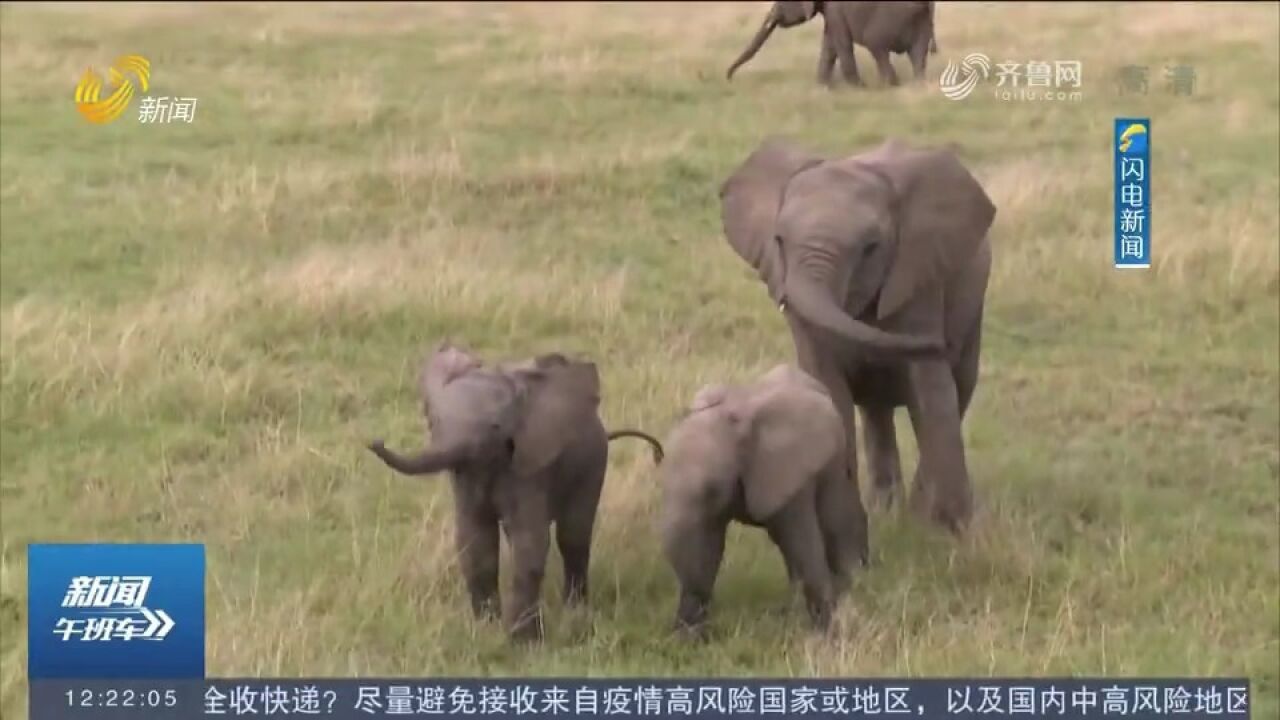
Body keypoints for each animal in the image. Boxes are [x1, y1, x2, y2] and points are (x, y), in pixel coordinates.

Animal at [360, 340, 660, 638]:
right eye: (432, 422)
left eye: (496, 427)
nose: (375, 441)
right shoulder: (468, 475)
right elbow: (475, 540)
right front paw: (485, 630)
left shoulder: (529, 468)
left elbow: (529, 541)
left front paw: (522, 641)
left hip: (593, 461)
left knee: (573, 536)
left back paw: (575, 613)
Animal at [660, 363, 870, 632]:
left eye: (711, 489)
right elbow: (709, 546)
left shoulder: (788, 472)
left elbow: (802, 541)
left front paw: (826, 629)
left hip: (834, 456)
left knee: (831, 518)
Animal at [716, 135, 993, 532]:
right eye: (779, 241)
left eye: (871, 248)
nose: (940, 342)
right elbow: (829, 386)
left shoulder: (919, 277)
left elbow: (931, 390)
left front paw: (949, 531)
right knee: (877, 412)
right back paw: (886, 511)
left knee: (957, 389)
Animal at [732, 0, 942, 87]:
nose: (729, 78)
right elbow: (829, 45)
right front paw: (822, 88)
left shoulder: (835, 10)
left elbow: (841, 43)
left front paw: (857, 89)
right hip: (921, 20)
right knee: (918, 55)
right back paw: (917, 86)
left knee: (877, 48)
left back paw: (887, 86)